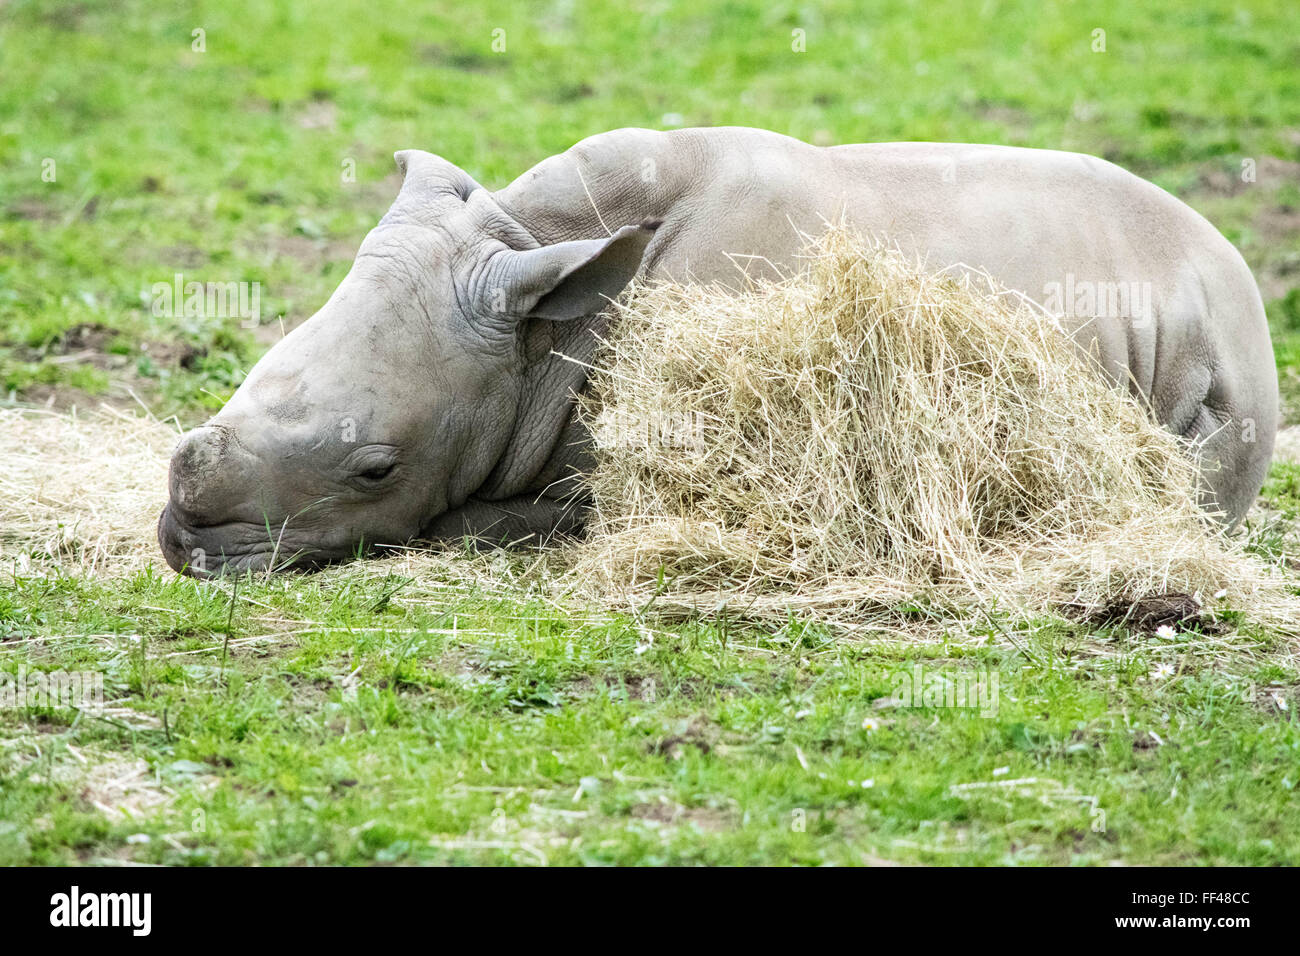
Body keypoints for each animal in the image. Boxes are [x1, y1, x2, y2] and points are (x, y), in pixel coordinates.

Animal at [158, 126, 1278, 575]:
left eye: (375, 470)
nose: (179, 537)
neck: (545, 327)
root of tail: (1246, 293)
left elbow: (477, 521)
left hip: (1211, 369)